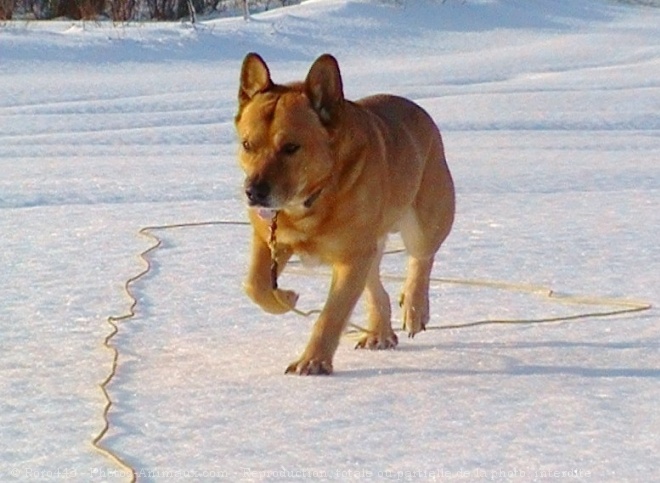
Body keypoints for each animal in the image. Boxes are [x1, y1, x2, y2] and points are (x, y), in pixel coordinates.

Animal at [235, 54, 456, 378]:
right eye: (247, 145)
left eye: (290, 147)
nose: (253, 192)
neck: (313, 199)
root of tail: (418, 112)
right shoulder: (271, 240)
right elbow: (255, 284)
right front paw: (285, 298)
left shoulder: (351, 258)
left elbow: (332, 314)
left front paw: (313, 361)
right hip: (369, 245)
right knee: (375, 285)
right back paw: (379, 331)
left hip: (425, 221)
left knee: (421, 258)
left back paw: (414, 309)